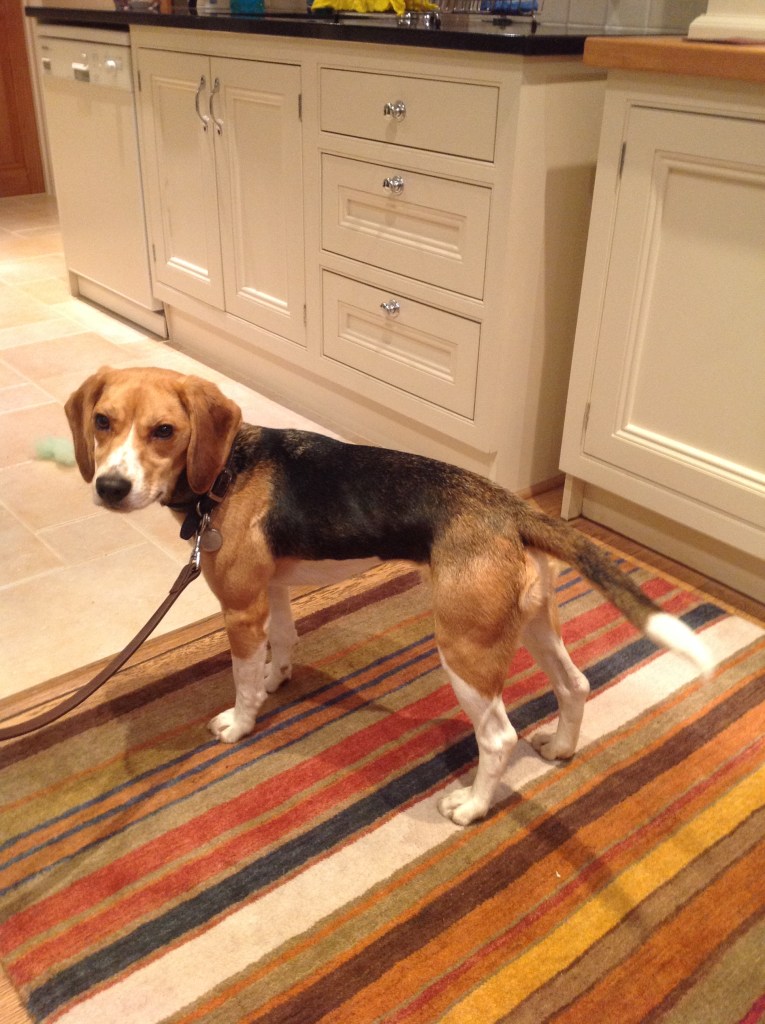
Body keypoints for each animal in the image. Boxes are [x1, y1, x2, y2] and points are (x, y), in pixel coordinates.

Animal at [65, 366, 712, 825]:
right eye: (102, 421)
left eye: (164, 432)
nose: (110, 486)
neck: (227, 469)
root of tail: (508, 507)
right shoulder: (273, 592)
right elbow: (284, 643)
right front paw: (278, 680)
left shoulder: (241, 611)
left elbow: (243, 681)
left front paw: (240, 723)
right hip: (532, 623)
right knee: (575, 684)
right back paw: (559, 747)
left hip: (465, 650)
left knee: (497, 737)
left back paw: (471, 808)